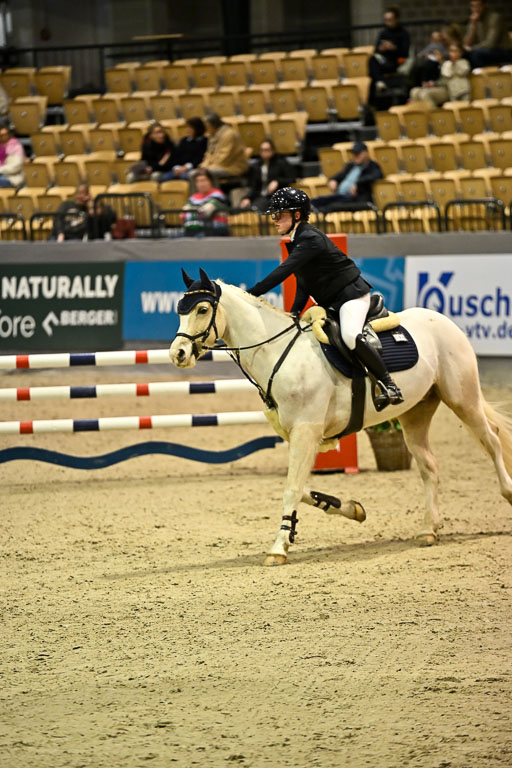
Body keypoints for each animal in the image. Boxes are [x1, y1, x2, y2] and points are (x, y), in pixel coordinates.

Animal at [169, 268, 512, 566]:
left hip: (462, 400)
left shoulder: (306, 432)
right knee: (429, 467)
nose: (178, 354)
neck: (278, 353)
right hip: (416, 414)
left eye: (202, 309)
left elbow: (292, 489)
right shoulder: (298, 436)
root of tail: (444, 321)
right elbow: (300, 487)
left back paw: (507, 494)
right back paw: (429, 529)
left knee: (492, 441)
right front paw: (350, 508)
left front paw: (278, 547)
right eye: (179, 311)